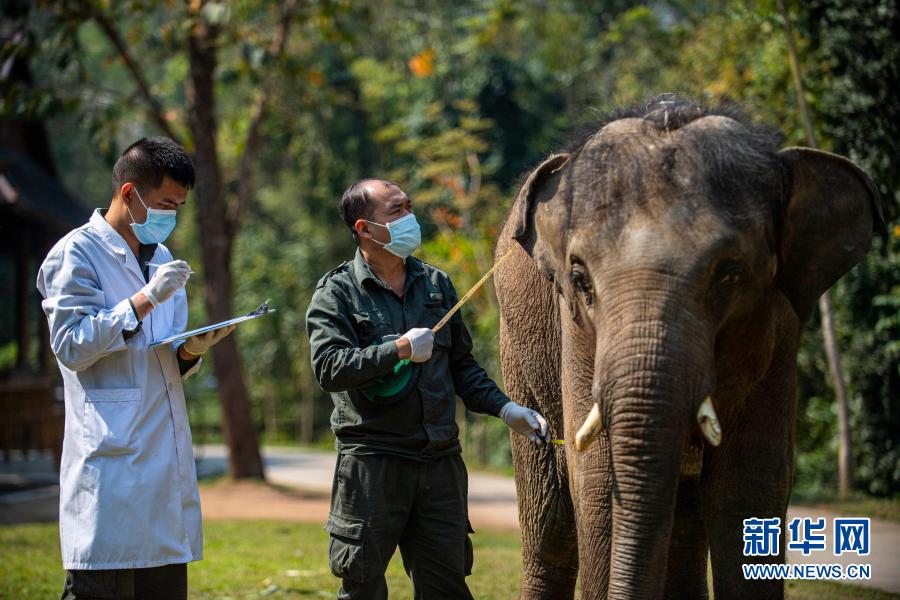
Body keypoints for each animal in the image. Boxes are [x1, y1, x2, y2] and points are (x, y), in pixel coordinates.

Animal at [492, 96, 880, 596]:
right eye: (580, 279)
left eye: (731, 274)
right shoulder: (574, 329)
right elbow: (597, 479)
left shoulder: (780, 330)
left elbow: (750, 482)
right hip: (519, 349)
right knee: (552, 527)